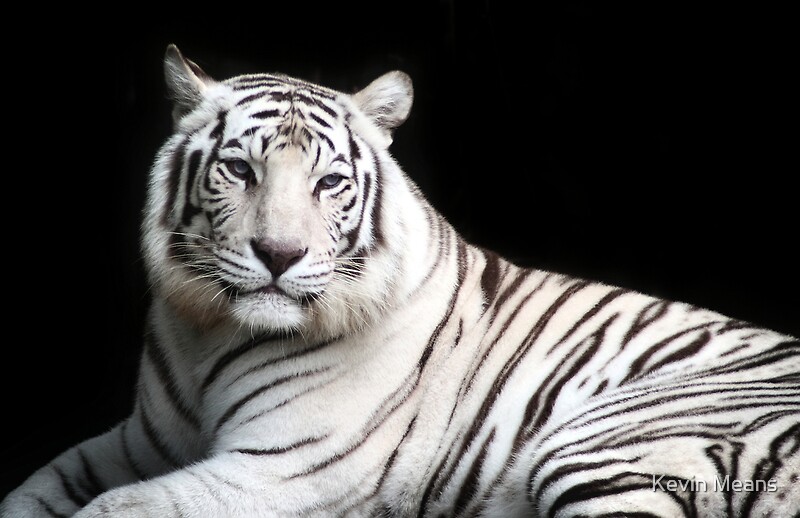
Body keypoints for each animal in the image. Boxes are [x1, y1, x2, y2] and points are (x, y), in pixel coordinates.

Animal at [2, 44, 798, 518]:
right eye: (239, 169)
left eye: (328, 183)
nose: (279, 254)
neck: (207, 330)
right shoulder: (137, 443)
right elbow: (35, 489)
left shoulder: (278, 470)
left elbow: (110, 510)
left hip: (606, 443)